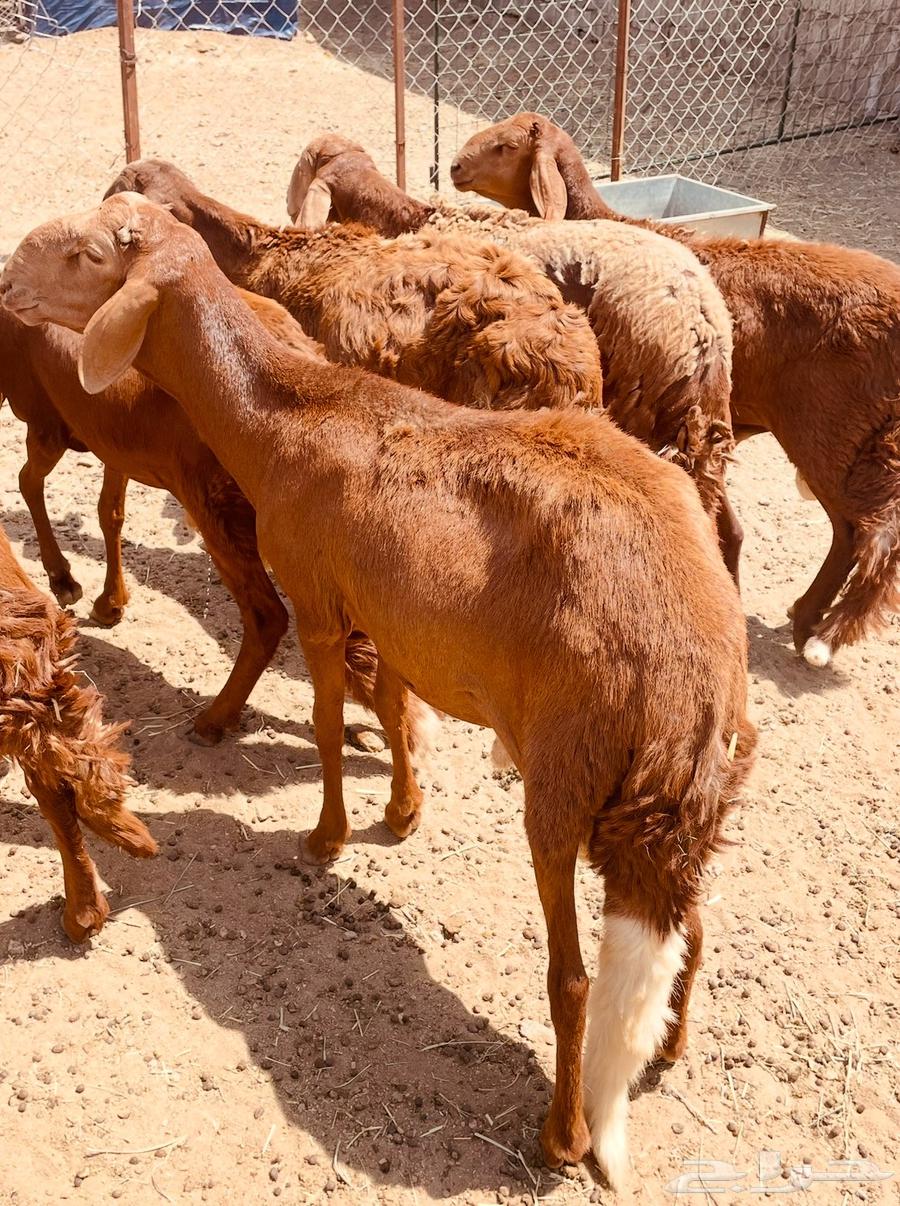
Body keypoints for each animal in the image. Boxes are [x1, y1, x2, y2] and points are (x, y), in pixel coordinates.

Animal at [0, 298, 431, 751]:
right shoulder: (110, 440)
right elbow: (109, 512)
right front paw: (110, 603)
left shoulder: (47, 423)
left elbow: (30, 482)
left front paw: (64, 579)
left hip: (214, 509)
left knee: (266, 617)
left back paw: (215, 719)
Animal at [450, 113, 900, 666]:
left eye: (507, 145)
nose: (453, 167)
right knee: (848, 530)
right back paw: (806, 618)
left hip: (830, 432)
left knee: (864, 531)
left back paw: (822, 633)